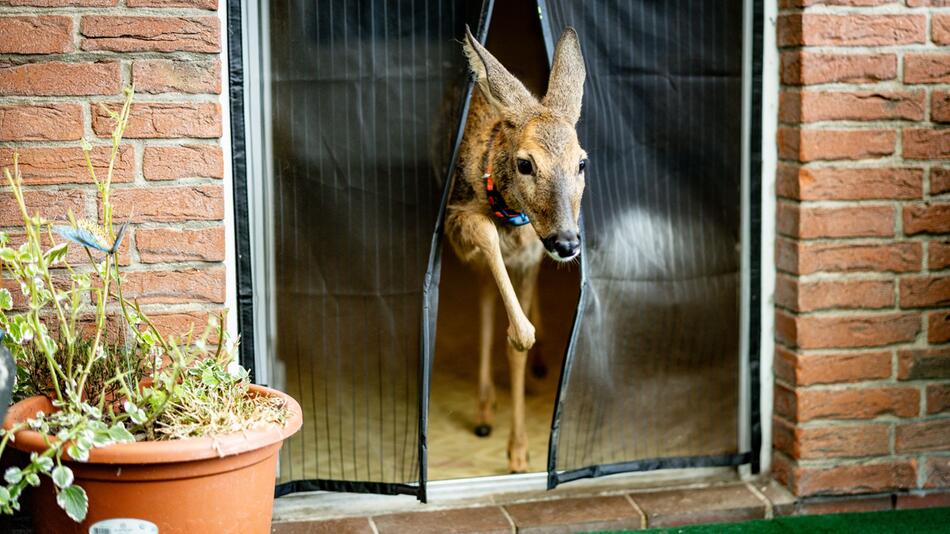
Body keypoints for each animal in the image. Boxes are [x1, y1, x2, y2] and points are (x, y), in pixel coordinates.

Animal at [448, 27, 588, 476]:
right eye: (526, 164)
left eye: (582, 163)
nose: (567, 242)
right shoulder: (456, 222)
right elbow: (485, 238)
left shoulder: (530, 261)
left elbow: (517, 354)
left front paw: (520, 452)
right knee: (484, 304)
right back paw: (484, 409)